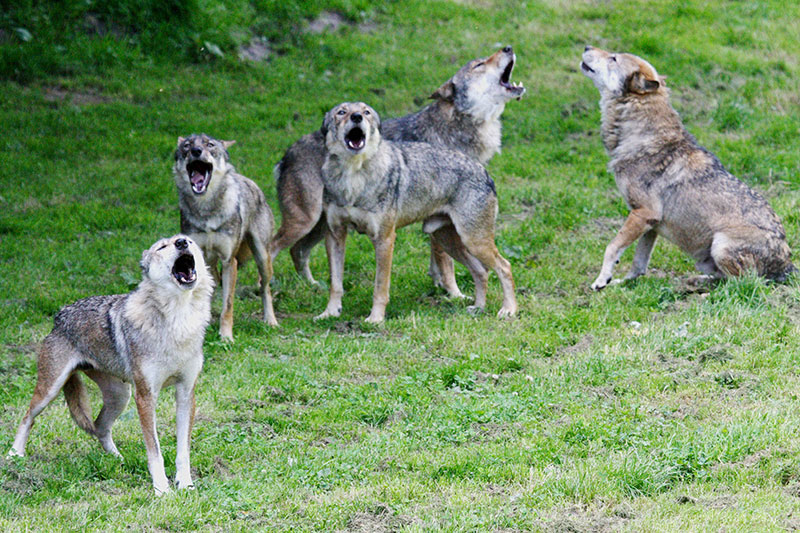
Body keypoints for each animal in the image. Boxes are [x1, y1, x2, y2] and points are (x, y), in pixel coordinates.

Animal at [7, 236, 214, 494]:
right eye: (162, 247)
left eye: (189, 241)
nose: (182, 241)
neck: (178, 321)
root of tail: (60, 315)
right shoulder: (146, 397)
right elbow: (154, 450)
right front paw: (161, 489)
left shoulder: (186, 393)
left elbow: (183, 451)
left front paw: (185, 484)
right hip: (51, 390)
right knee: (28, 417)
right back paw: (14, 455)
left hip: (120, 395)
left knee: (100, 426)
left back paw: (117, 459)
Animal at [173, 135, 278, 338]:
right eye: (187, 146)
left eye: (210, 145)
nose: (196, 151)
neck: (206, 211)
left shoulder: (230, 261)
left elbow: (228, 306)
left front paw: (226, 336)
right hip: (210, 265)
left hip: (263, 258)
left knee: (265, 288)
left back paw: (270, 320)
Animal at [268, 46, 524, 298]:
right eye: (479, 65)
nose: (508, 47)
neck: (456, 129)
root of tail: (286, 155)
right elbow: (446, 263)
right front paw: (454, 293)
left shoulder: (437, 219)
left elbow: (437, 262)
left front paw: (439, 286)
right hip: (305, 221)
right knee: (273, 248)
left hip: (321, 225)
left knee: (297, 251)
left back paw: (313, 287)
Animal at [316, 102, 516, 322]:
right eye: (341, 112)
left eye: (366, 112)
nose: (357, 117)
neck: (353, 179)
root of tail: (484, 171)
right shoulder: (335, 236)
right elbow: (335, 285)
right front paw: (330, 313)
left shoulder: (384, 239)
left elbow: (380, 288)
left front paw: (375, 319)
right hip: (449, 241)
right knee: (481, 271)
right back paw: (479, 308)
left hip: (473, 242)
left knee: (504, 267)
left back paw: (508, 310)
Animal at [580, 44, 792, 286]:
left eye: (613, 58)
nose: (587, 46)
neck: (641, 135)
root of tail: (788, 265)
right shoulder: (650, 223)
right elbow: (638, 264)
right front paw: (621, 283)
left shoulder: (642, 213)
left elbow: (612, 246)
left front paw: (601, 280)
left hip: (720, 244)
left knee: (738, 283)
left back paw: (692, 284)